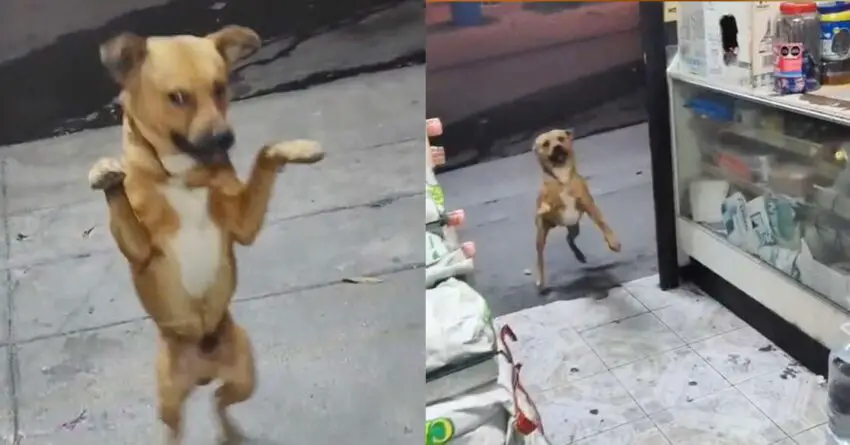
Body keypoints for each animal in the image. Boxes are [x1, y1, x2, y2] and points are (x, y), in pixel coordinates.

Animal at [87, 26, 324, 442]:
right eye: (178, 97)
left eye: (220, 88)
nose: (225, 138)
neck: (182, 173)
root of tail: (202, 369)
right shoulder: (141, 250)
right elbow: (121, 201)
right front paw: (105, 173)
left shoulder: (241, 224)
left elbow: (265, 154)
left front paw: (300, 148)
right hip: (168, 398)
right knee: (175, 429)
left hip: (245, 374)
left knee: (219, 403)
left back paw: (230, 431)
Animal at [532, 128, 620, 292]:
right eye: (546, 144)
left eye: (561, 139)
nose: (557, 147)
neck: (563, 179)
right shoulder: (549, 204)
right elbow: (547, 204)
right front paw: (544, 206)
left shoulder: (588, 205)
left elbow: (602, 223)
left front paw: (614, 242)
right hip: (541, 234)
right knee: (540, 257)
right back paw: (541, 280)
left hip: (574, 228)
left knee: (569, 239)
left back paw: (579, 255)